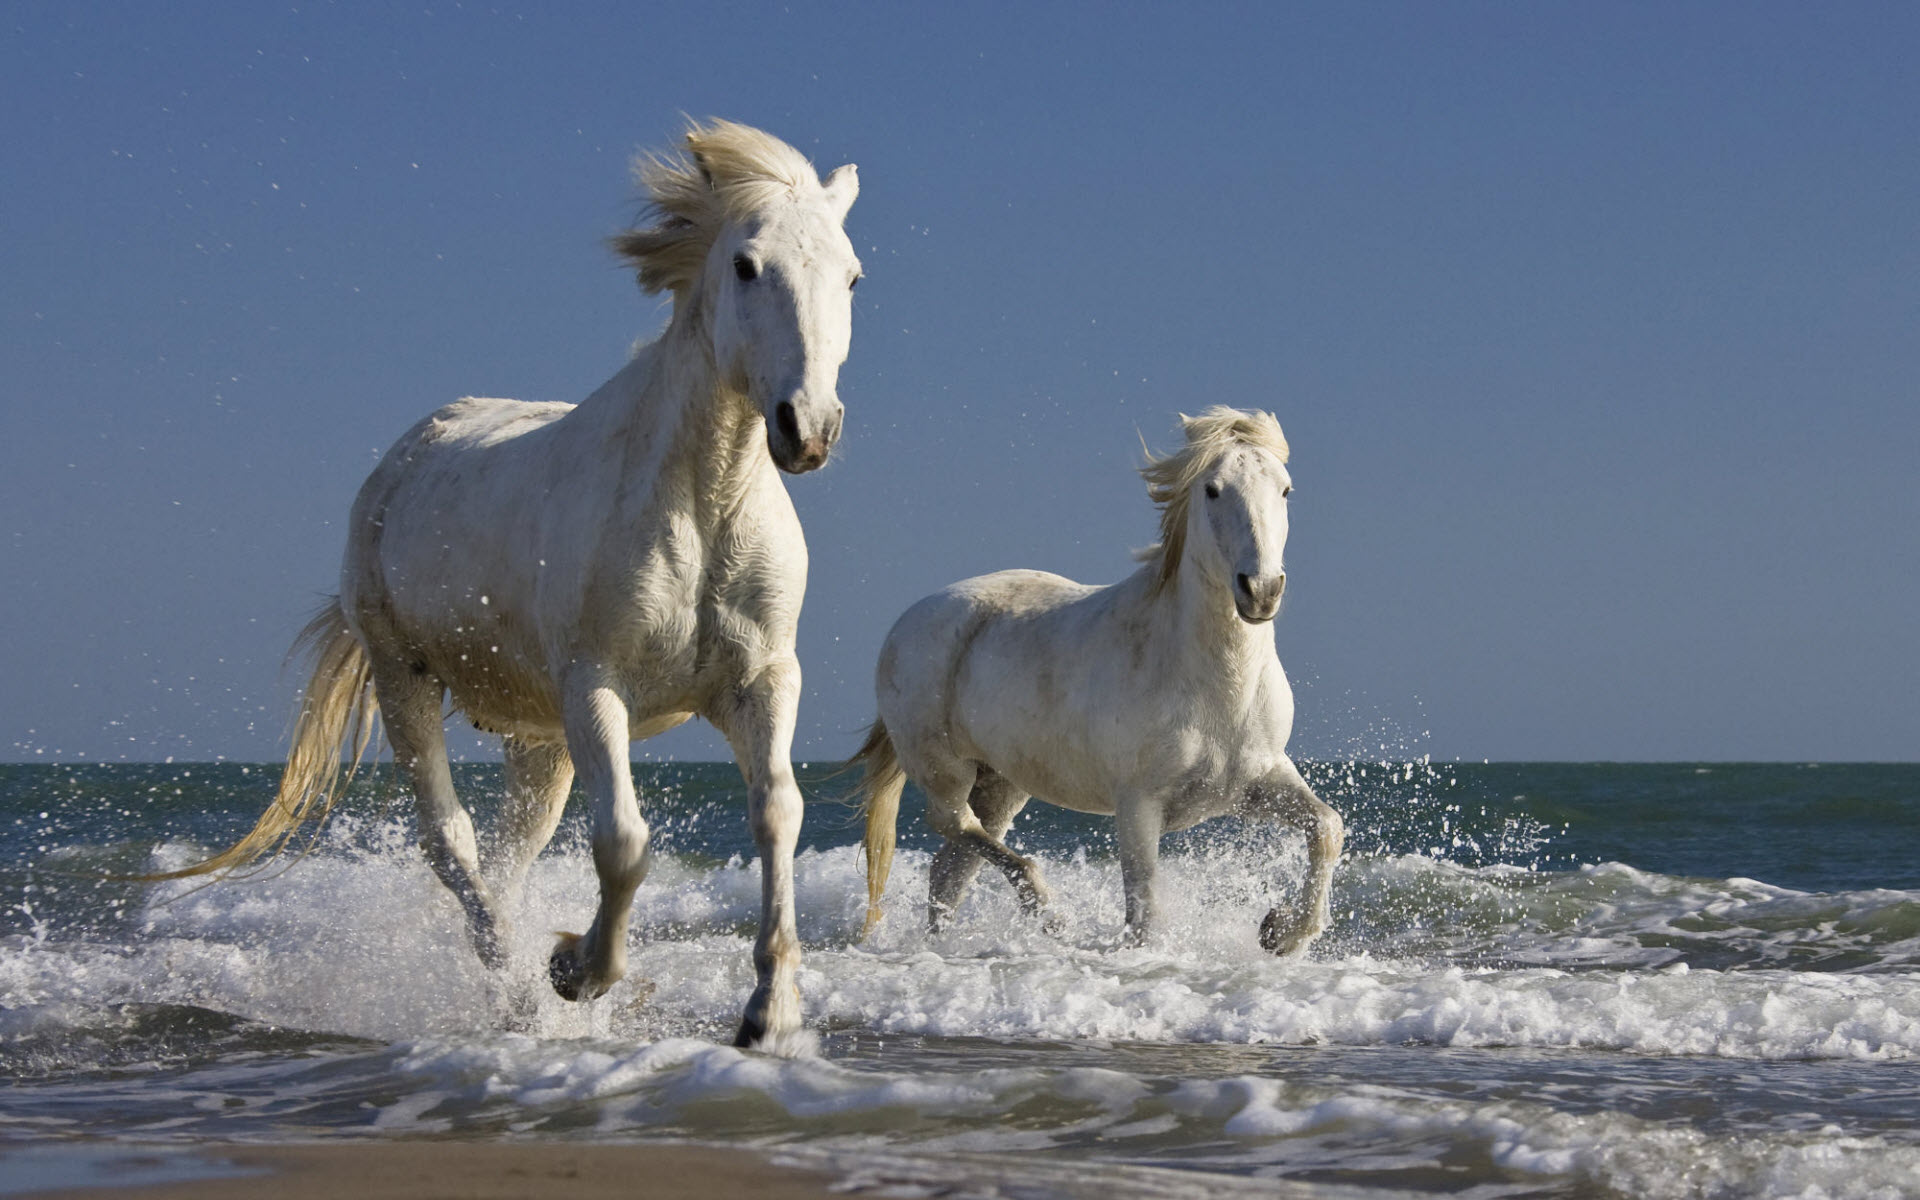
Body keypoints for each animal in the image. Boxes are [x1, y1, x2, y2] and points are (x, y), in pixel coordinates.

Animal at [151, 120, 862, 1048]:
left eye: (851, 275)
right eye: (746, 265)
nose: (807, 428)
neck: (702, 501)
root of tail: (407, 452)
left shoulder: (763, 680)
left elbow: (777, 812)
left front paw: (768, 1013)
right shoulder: (596, 686)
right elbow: (623, 841)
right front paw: (575, 972)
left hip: (539, 741)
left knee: (505, 857)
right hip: (407, 680)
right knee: (452, 845)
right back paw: (517, 990)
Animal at [852, 407, 1343, 956]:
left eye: (1285, 489)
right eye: (1213, 490)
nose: (1260, 590)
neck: (1216, 688)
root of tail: (908, 620)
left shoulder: (1255, 784)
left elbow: (1327, 826)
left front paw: (1281, 932)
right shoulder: (1138, 806)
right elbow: (1145, 913)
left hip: (1001, 784)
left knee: (950, 869)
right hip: (944, 769)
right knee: (954, 826)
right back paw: (1047, 912)